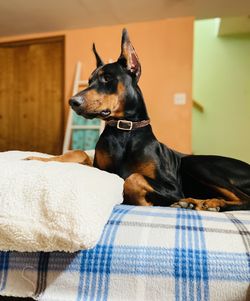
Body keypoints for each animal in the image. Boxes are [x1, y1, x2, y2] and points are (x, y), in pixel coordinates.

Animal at [26, 28, 250, 211]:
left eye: (107, 78)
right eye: (89, 81)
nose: (73, 101)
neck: (123, 132)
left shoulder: (173, 187)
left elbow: (131, 178)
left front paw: (144, 201)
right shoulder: (100, 169)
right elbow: (78, 153)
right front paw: (39, 159)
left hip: (195, 163)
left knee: (244, 199)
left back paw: (209, 203)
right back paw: (196, 202)